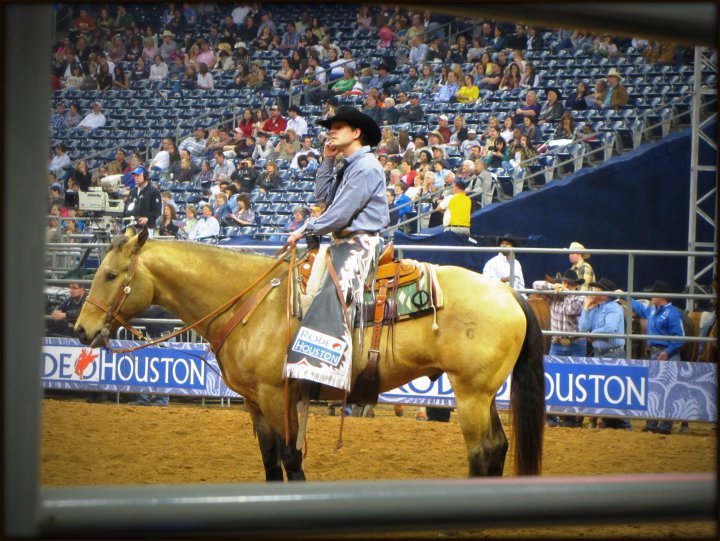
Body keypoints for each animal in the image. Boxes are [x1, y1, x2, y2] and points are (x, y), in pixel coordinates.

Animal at [75, 229, 546, 481]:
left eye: (111, 274)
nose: (81, 330)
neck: (251, 303)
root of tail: (507, 293)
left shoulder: (276, 394)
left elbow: (289, 456)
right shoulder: (253, 401)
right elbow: (269, 457)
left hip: (471, 395)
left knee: (483, 451)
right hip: (482, 395)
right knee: (498, 446)